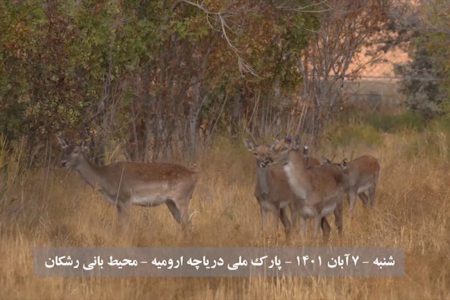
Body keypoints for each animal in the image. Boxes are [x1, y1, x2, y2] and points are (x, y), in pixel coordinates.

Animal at [56, 136, 197, 230]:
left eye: (76, 151)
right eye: (64, 150)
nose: (63, 162)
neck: (106, 180)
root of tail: (193, 175)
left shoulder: (126, 198)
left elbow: (125, 227)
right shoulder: (118, 203)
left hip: (182, 198)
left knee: (189, 224)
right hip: (170, 202)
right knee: (184, 224)